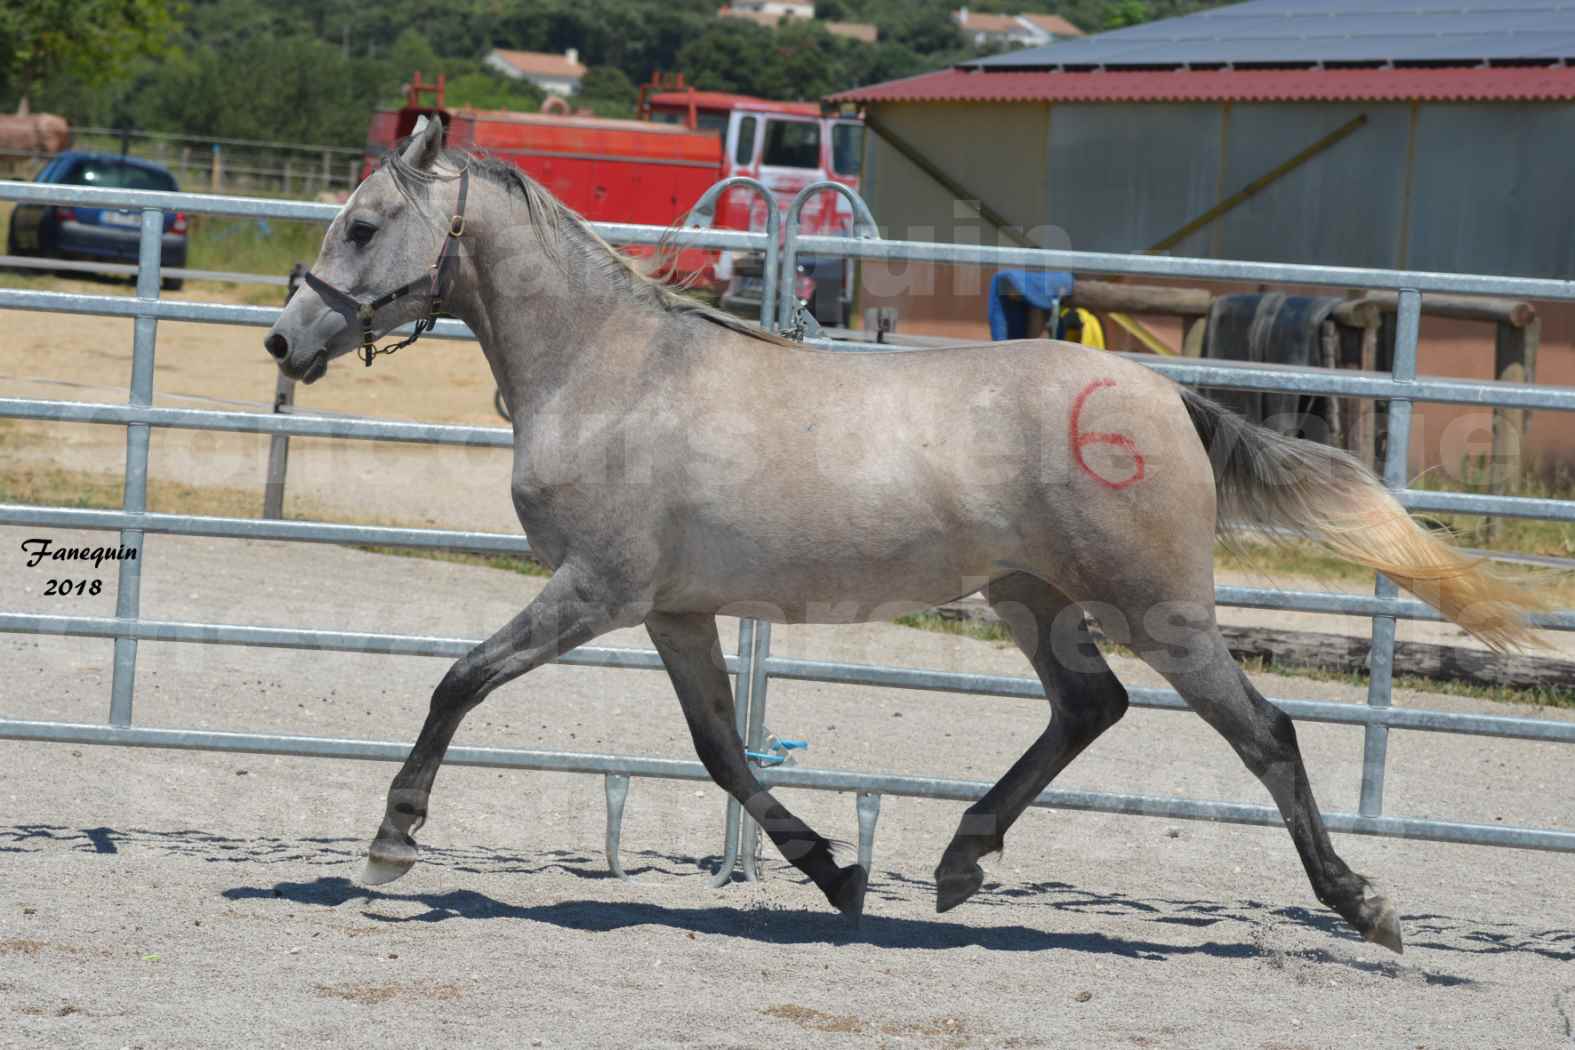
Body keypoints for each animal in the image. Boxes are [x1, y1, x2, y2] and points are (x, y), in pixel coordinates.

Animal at [267, 114, 1537, 950]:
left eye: (365, 225)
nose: (286, 342)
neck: (610, 371)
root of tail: (1162, 392)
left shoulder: (596, 590)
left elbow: (459, 682)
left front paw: (392, 841)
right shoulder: (675, 611)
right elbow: (723, 751)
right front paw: (834, 873)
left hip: (1160, 612)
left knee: (1265, 734)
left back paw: (1364, 906)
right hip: (1033, 599)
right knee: (1091, 709)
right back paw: (958, 863)